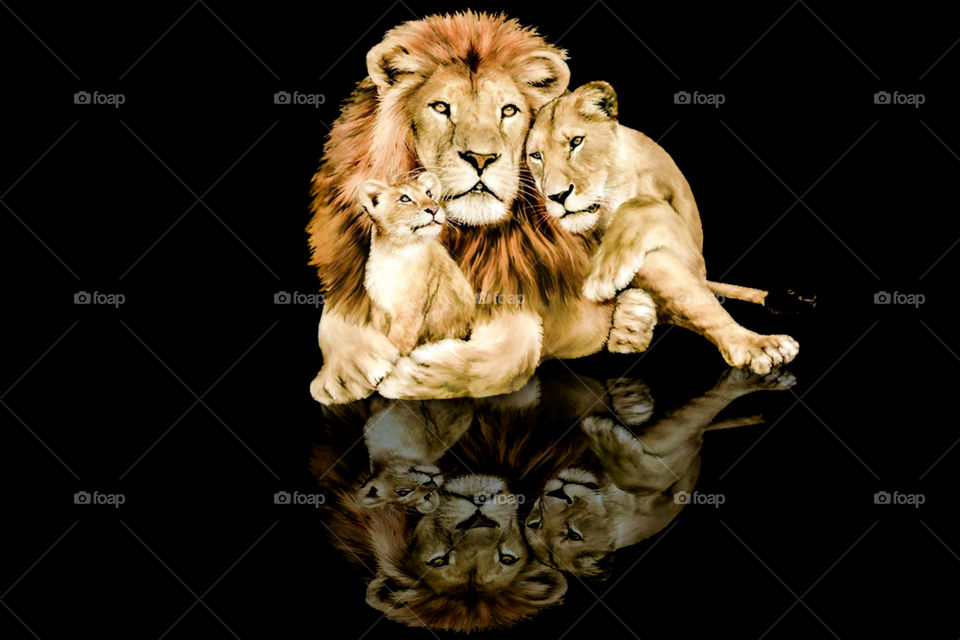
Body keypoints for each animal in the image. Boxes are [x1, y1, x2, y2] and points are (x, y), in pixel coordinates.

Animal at [359, 171, 475, 355]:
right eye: (405, 198)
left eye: (429, 194)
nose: (434, 209)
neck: (393, 252)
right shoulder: (379, 309)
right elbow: (380, 336)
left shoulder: (410, 312)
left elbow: (397, 344)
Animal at [525, 81, 800, 374]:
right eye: (536, 156)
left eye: (576, 142)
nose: (557, 196)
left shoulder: (690, 249)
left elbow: (639, 204)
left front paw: (603, 277)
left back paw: (757, 345)